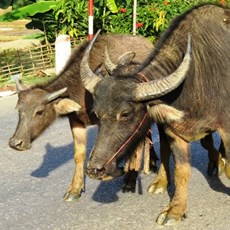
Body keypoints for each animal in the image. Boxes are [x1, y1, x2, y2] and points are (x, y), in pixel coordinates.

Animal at [9, 34, 157, 201]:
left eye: (39, 112)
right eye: (19, 110)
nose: (16, 143)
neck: (81, 88)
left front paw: (122, 177)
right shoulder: (76, 121)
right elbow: (79, 155)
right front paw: (75, 189)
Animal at [79, 3, 230, 226]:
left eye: (125, 114)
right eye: (97, 114)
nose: (94, 170)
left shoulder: (226, 128)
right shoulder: (174, 131)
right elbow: (181, 170)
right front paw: (176, 210)